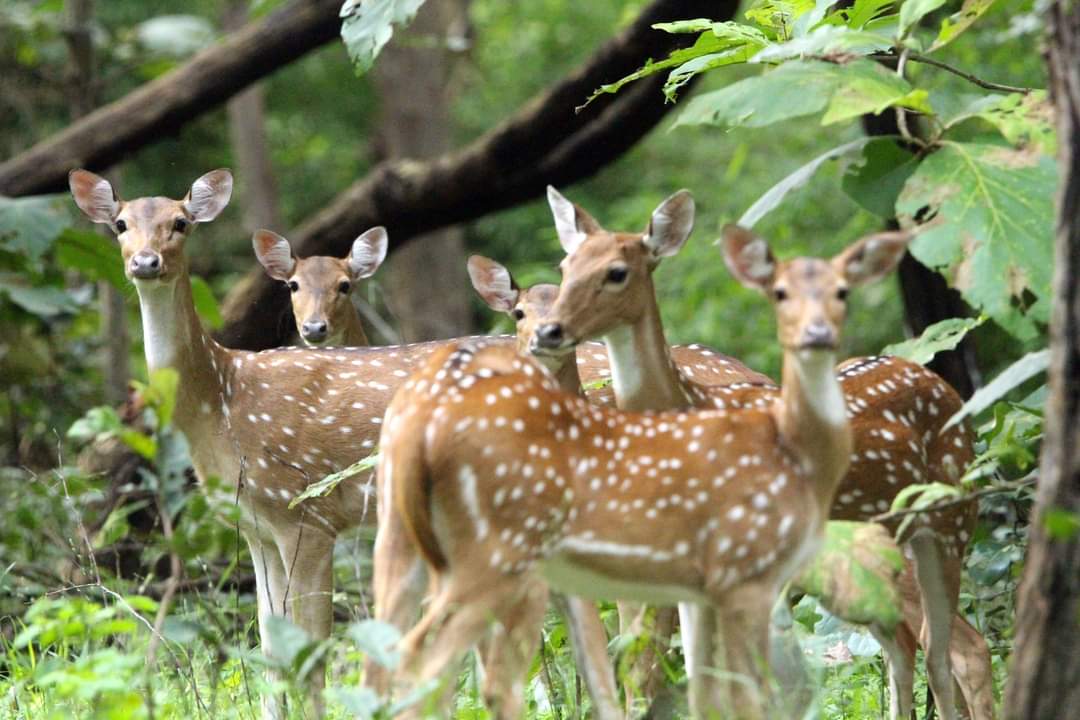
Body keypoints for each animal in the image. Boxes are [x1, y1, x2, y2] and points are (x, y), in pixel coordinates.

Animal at [536, 187, 992, 720]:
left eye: (616, 272)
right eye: (565, 265)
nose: (549, 331)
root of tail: (947, 387)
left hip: (950, 518)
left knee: (949, 649)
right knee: (907, 646)